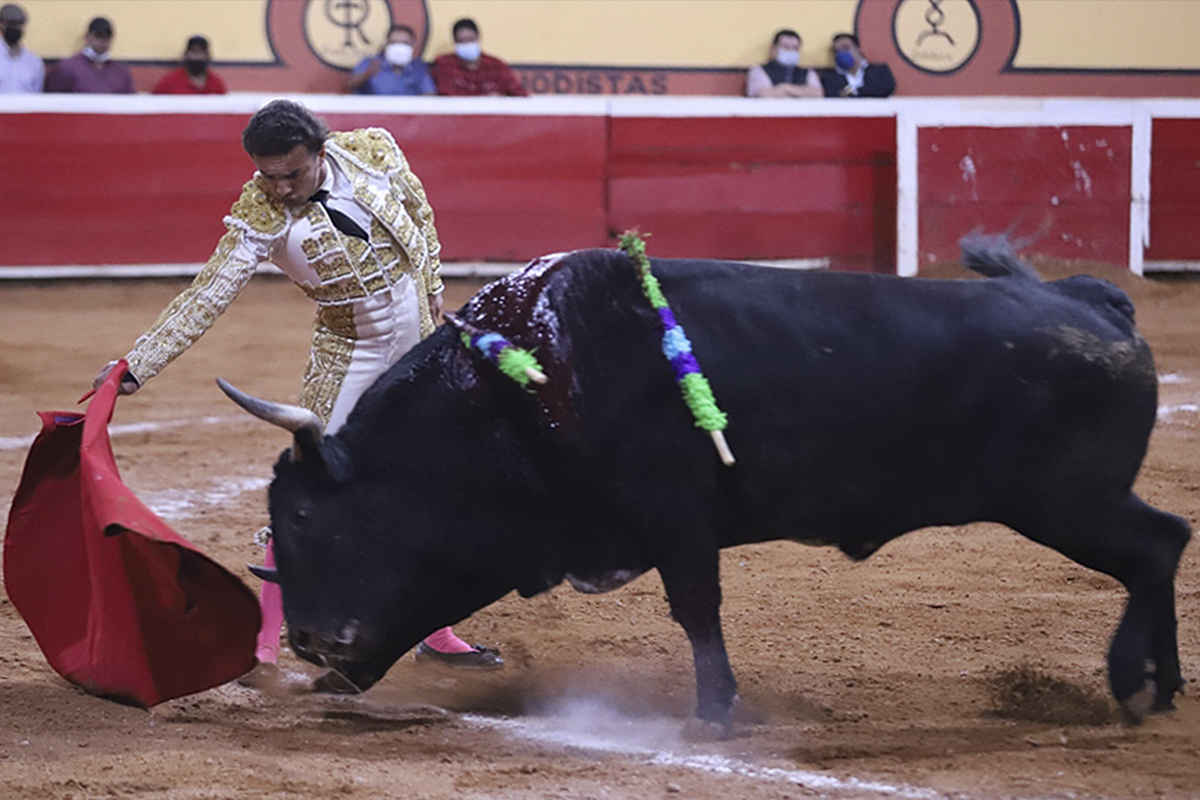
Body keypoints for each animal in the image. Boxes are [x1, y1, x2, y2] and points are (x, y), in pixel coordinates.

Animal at [223, 239, 1190, 738]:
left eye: (303, 515)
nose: (307, 641)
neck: (519, 391)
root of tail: (1093, 301)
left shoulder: (678, 518)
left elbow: (696, 610)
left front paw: (716, 715)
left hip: (1067, 502)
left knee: (1156, 547)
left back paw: (1131, 684)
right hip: (1075, 503)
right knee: (1168, 542)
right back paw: (1167, 684)